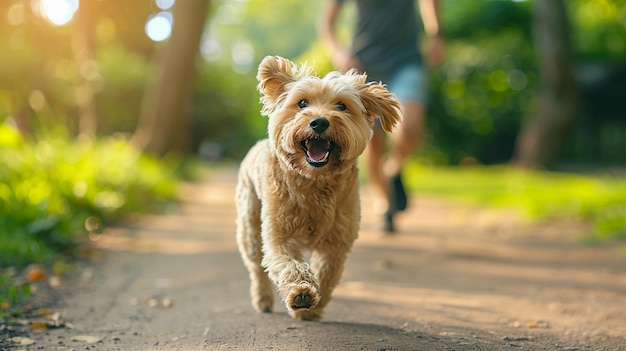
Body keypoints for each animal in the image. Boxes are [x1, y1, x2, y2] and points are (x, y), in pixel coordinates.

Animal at [234, 55, 400, 322]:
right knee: (257, 266)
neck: (315, 180)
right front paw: (301, 293)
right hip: (249, 226)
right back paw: (263, 299)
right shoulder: (279, 234)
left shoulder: (337, 242)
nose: (319, 122)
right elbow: (287, 264)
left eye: (341, 106)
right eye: (302, 103)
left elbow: (327, 274)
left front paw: (311, 308)